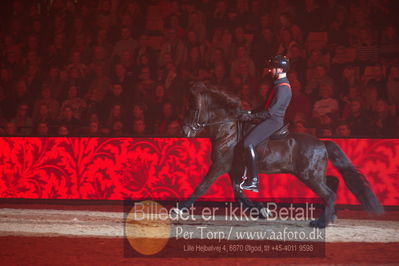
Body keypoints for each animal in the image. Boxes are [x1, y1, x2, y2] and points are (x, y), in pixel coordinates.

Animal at [180, 83, 384, 229]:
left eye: (194, 108)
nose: (185, 130)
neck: (227, 130)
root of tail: (321, 143)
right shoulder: (234, 169)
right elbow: (239, 196)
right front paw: (263, 212)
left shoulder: (220, 165)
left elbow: (202, 187)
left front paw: (178, 209)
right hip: (313, 174)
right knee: (333, 182)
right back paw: (330, 217)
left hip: (309, 176)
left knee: (329, 194)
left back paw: (320, 223)